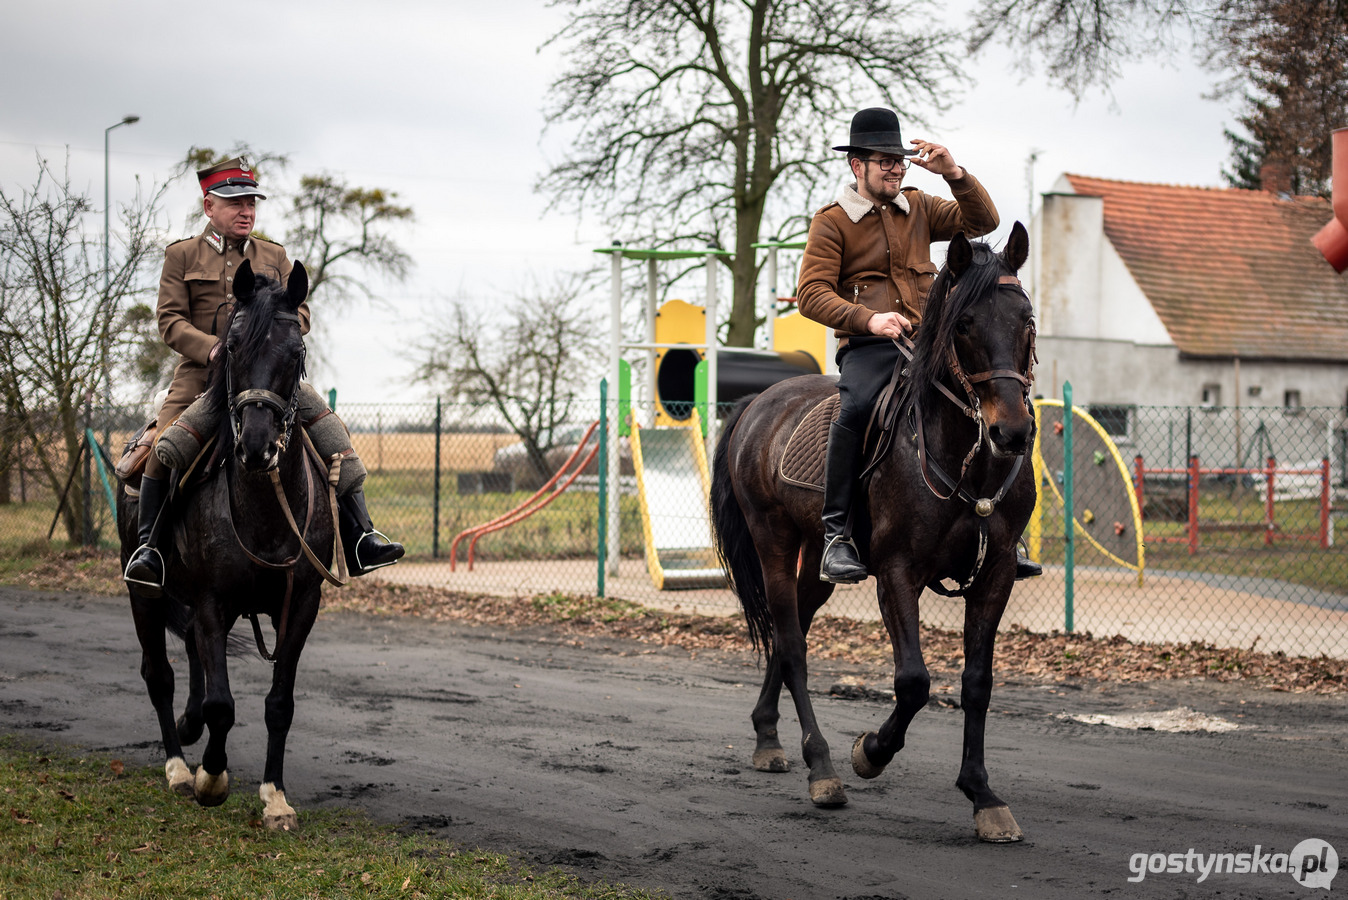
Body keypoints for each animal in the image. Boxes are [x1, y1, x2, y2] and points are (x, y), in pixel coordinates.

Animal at [117, 258, 342, 829]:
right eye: (233, 347)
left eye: (296, 350)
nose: (258, 446)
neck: (263, 507)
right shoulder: (213, 602)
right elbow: (222, 704)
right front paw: (211, 778)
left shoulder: (300, 605)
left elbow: (279, 703)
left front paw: (275, 797)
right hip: (144, 595)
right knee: (159, 674)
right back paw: (179, 766)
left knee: (192, 661)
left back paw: (189, 729)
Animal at [711, 220, 1035, 840]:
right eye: (964, 324)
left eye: (1026, 319)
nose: (1012, 433)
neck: (963, 456)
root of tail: (759, 402)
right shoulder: (897, 572)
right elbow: (913, 681)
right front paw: (870, 752)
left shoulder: (997, 574)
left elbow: (977, 683)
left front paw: (982, 795)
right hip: (773, 542)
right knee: (792, 645)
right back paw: (822, 769)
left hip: (818, 561)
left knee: (794, 633)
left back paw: (767, 736)